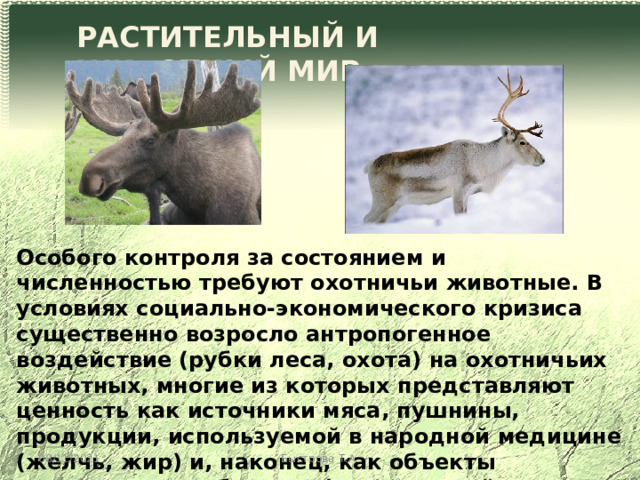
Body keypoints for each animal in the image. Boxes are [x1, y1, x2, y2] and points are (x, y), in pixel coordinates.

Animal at [363, 70, 545, 223]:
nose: (542, 159)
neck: (482, 164)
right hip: (383, 200)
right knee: (367, 219)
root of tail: (369, 165)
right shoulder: (458, 190)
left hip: (394, 205)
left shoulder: (468, 193)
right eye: (522, 142)